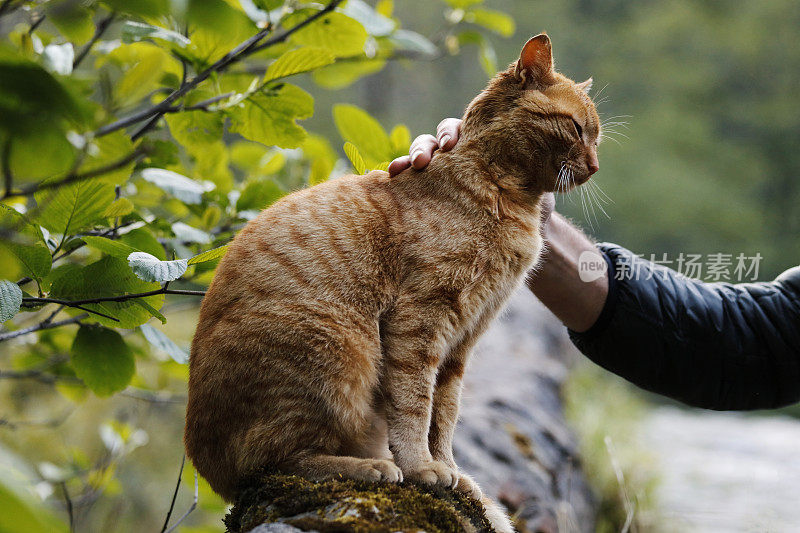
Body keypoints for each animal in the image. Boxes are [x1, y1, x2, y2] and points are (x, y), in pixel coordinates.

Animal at [188, 34, 596, 532]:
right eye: (577, 129)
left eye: (597, 136)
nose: (595, 165)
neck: (505, 195)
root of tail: (204, 459)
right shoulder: (421, 320)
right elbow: (414, 405)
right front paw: (422, 468)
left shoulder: (463, 341)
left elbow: (445, 414)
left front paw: (451, 472)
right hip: (339, 347)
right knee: (275, 464)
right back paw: (371, 467)